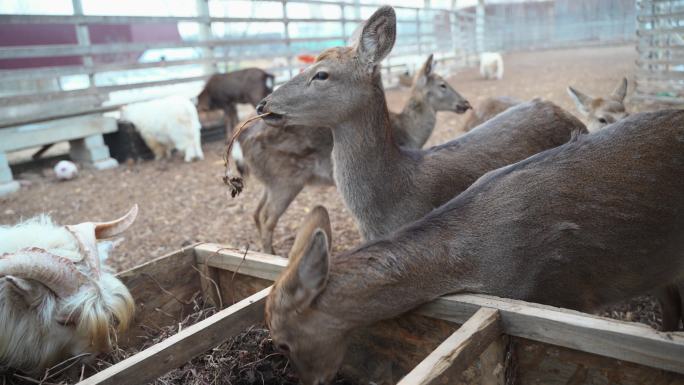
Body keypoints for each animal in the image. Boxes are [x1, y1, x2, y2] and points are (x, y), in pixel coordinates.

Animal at [236, 54, 470, 252]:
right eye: (443, 85)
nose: (465, 103)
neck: (410, 134)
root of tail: (240, 137)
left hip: (269, 180)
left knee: (257, 212)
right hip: (286, 179)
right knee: (267, 217)